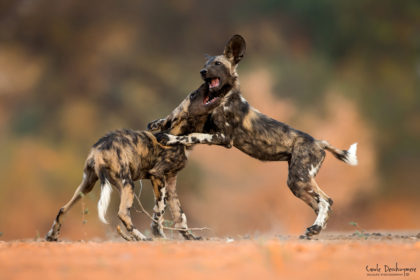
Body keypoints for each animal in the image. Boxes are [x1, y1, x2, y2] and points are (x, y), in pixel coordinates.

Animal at [45, 84, 226, 242]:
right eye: (194, 94)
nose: (206, 83)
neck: (180, 136)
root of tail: (99, 150)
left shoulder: (171, 183)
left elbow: (180, 216)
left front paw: (190, 237)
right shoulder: (157, 176)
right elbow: (160, 211)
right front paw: (159, 235)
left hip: (88, 185)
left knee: (63, 209)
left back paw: (52, 236)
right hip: (128, 184)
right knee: (123, 214)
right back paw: (141, 238)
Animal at [154, 34, 358, 237]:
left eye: (217, 64)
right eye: (207, 64)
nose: (202, 72)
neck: (225, 97)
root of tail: (319, 142)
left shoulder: (223, 138)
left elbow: (191, 135)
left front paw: (169, 137)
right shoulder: (209, 127)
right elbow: (180, 120)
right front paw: (158, 123)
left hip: (299, 179)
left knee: (326, 201)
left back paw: (315, 229)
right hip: (298, 184)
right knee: (321, 204)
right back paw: (313, 231)